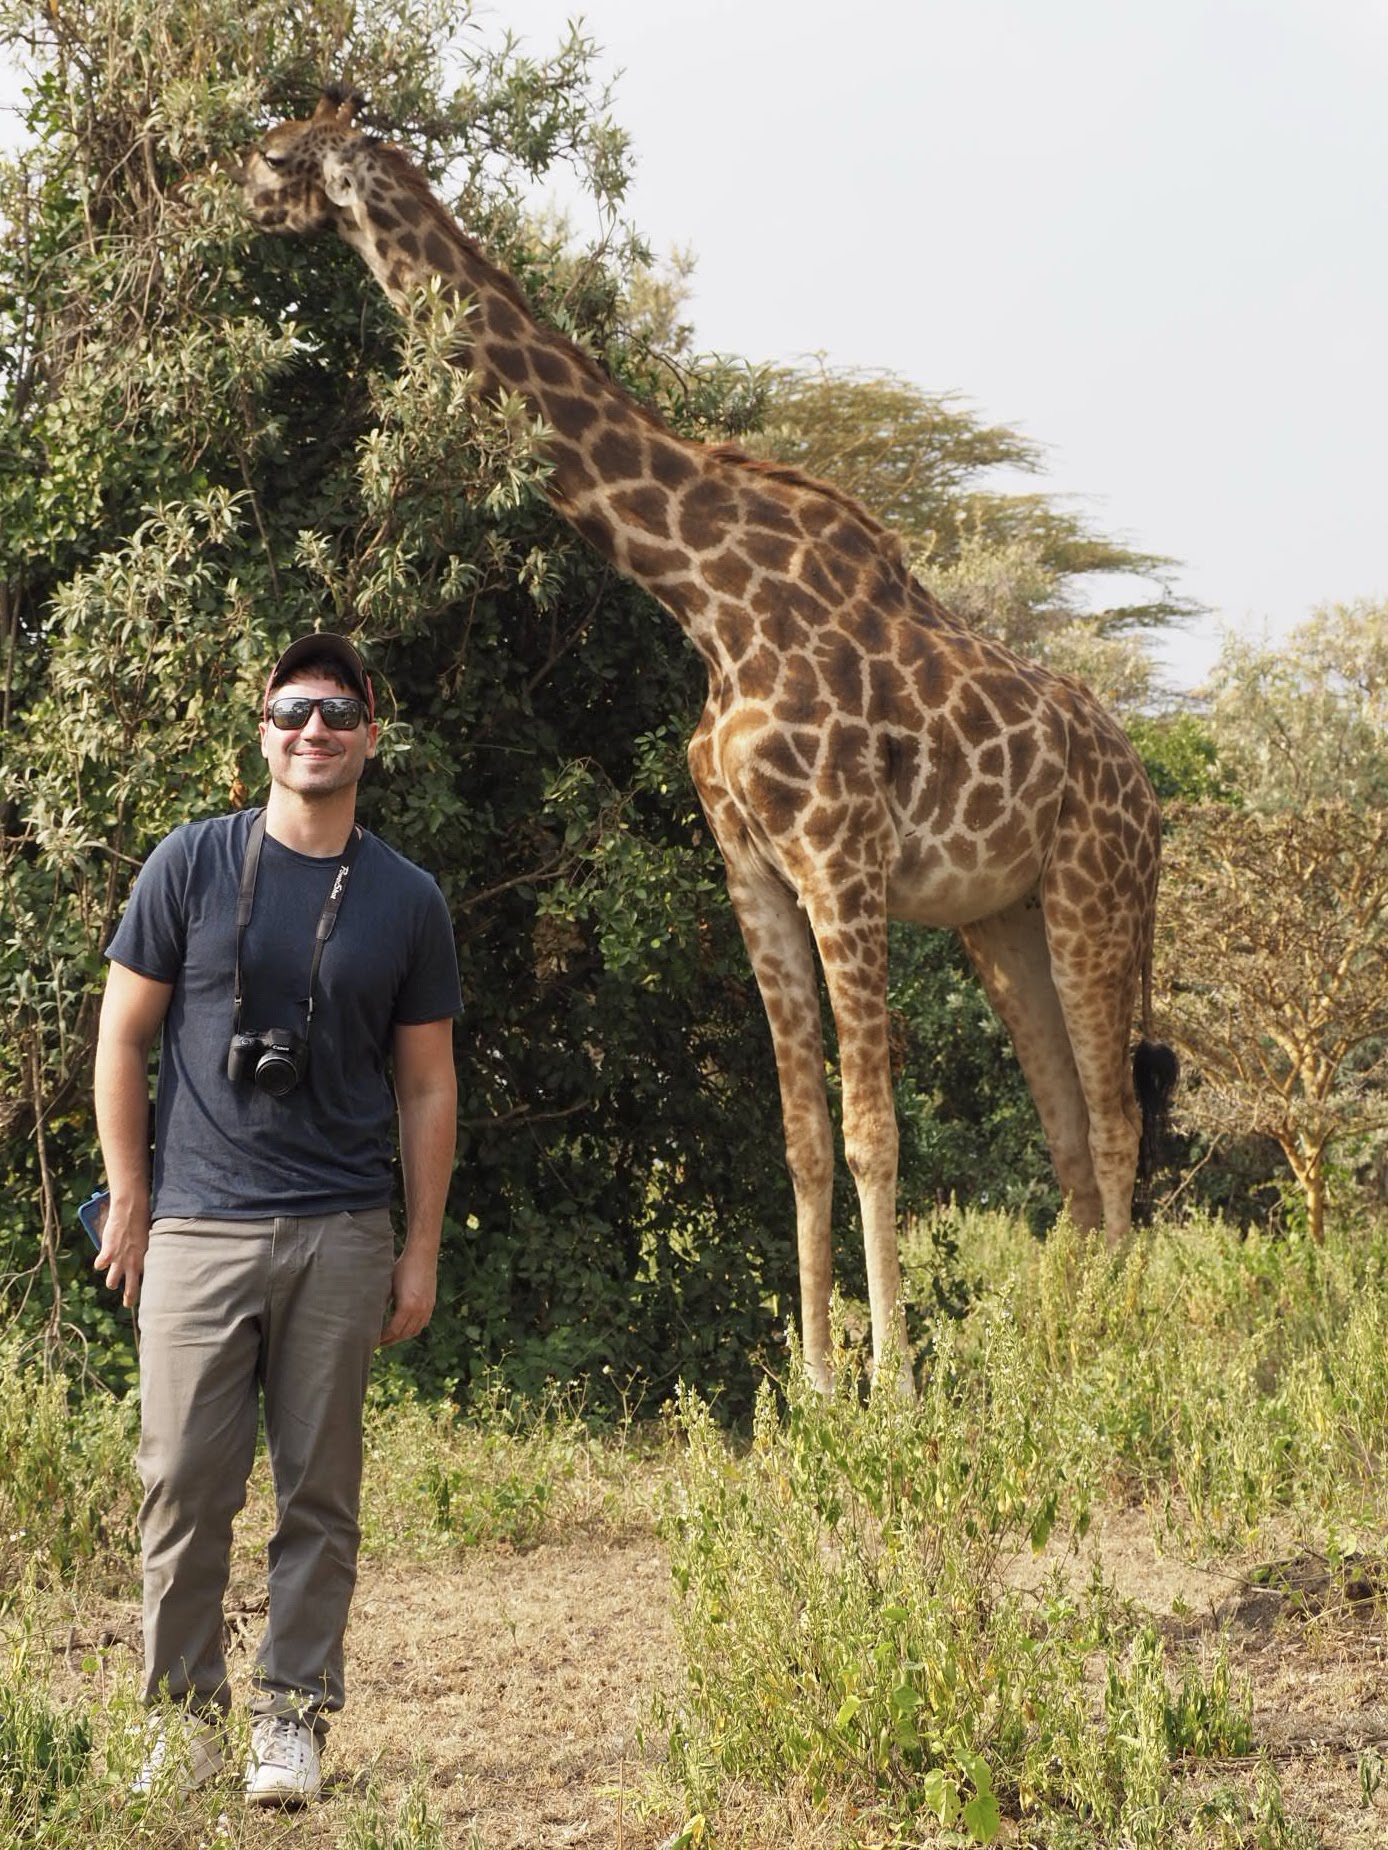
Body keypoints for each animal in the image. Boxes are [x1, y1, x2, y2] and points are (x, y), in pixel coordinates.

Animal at [236, 86, 1177, 1391]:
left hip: (1097, 891)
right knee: (1068, 1128)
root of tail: (1145, 791)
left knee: (1116, 1112)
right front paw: (820, 1384)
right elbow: (800, 1135)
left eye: (277, 155)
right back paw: (1064, 1350)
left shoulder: (840, 855)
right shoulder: (751, 868)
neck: (707, 600)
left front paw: (892, 1383)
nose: (234, 200)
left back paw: (1120, 1349)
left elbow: (873, 1130)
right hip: (1004, 919)